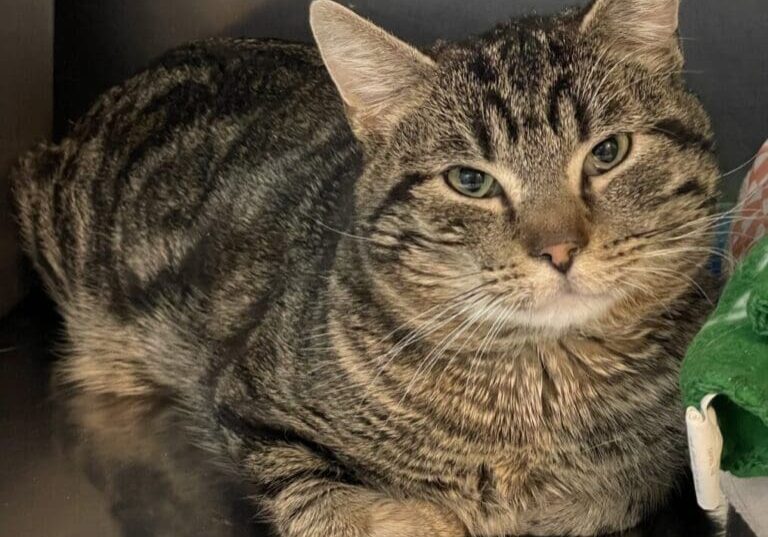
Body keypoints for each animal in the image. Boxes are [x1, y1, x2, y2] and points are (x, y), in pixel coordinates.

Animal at [12, 1, 724, 536]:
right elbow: (326, 497)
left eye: (608, 151)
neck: (533, 397)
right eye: (470, 181)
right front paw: (424, 517)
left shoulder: (647, 470)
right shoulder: (246, 405)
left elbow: (608, 493)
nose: (560, 249)